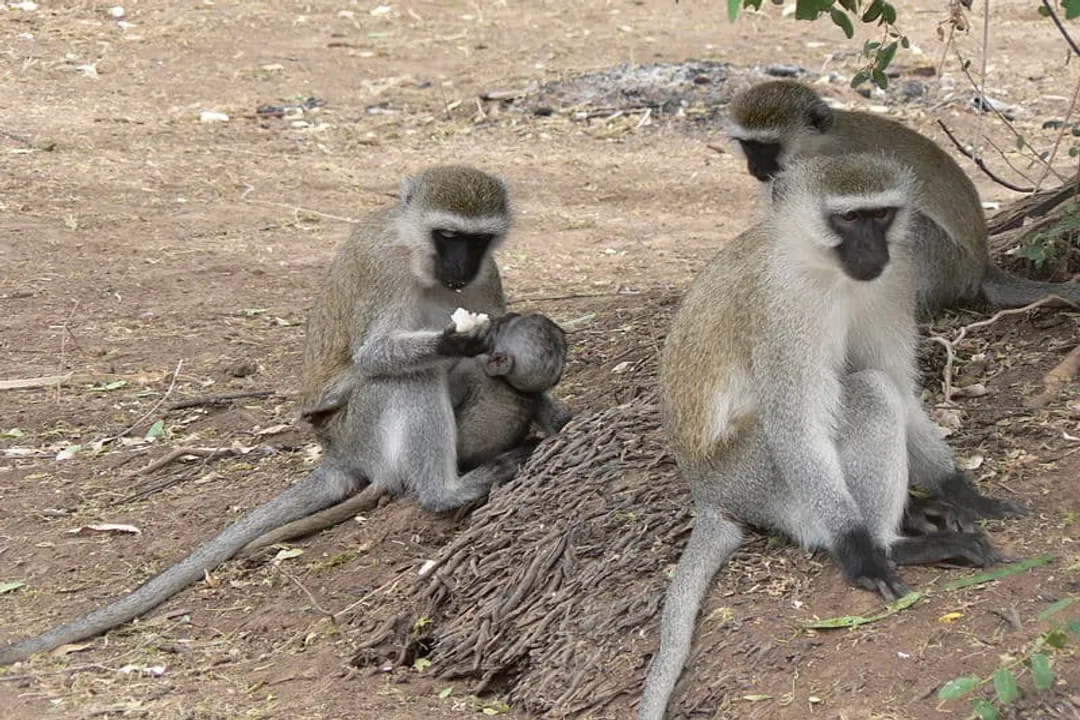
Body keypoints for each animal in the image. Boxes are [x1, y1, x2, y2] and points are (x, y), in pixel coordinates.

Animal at [0, 165, 532, 666]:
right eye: (447, 235)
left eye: (476, 240)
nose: (460, 267)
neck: (420, 261)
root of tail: (337, 453)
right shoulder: (383, 269)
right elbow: (373, 356)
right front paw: (455, 340)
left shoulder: (488, 274)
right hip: (358, 430)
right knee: (408, 379)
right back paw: (446, 490)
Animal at [239, 311, 573, 552]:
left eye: (504, 326)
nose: (501, 316)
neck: (508, 384)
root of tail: (345, 454)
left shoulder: (475, 371)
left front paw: (450, 344)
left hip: (363, 425)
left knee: (413, 378)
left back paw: (446, 492)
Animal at [637, 153, 1028, 720]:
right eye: (848, 219)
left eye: (881, 215)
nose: (873, 252)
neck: (825, 269)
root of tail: (706, 491)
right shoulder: (784, 311)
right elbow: (799, 423)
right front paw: (862, 552)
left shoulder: (896, 280)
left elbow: (905, 390)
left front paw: (965, 494)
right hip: (756, 477)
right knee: (867, 394)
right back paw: (894, 545)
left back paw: (920, 512)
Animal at [726, 79, 1080, 317]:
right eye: (748, 146)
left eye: (767, 147)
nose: (755, 168)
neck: (818, 144)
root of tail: (979, 267)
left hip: (945, 264)